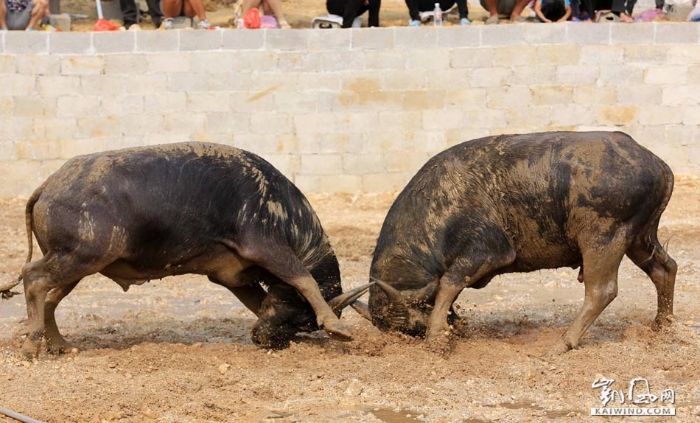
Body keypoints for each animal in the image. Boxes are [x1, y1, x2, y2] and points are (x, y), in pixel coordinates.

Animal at [5, 142, 372, 358]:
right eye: (302, 319)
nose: (265, 340)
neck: (284, 211)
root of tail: (49, 185)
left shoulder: (232, 277)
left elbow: (260, 302)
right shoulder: (268, 249)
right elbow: (304, 280)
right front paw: (335, 326)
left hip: (76, 263)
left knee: (49, 298)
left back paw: (59, 344)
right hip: (80, 257)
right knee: (33, 279)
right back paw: (32, 344)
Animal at [366, 132, 680, 352]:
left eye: (409, 327)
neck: (440, 201)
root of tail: (657, 163)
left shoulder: (489, 251)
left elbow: (448, 284)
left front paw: (435, 339)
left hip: (603, 238)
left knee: (601, 291)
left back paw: (562, 343)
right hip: (639, 237)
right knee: (665, 269)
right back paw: (662, 326)